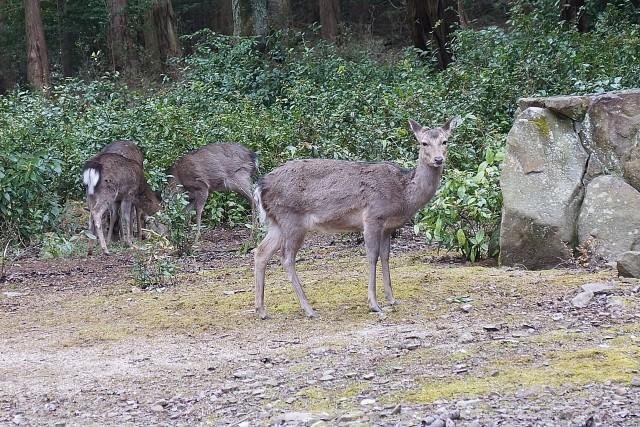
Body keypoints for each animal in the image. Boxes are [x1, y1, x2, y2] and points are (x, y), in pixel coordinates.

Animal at [253, 116, 459, 319]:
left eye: (445, 141)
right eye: (424, 143)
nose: (438, 159)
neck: (404, 195)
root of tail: (260, 186)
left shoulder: (388, 226)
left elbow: (386, 256)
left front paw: (392, 299)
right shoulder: (373, 217)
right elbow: (372, 256)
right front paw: (374, 304)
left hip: (276, 223)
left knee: (260, 251)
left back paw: (262, 310)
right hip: (291, 219)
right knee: (286, 258)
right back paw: (308, 309)